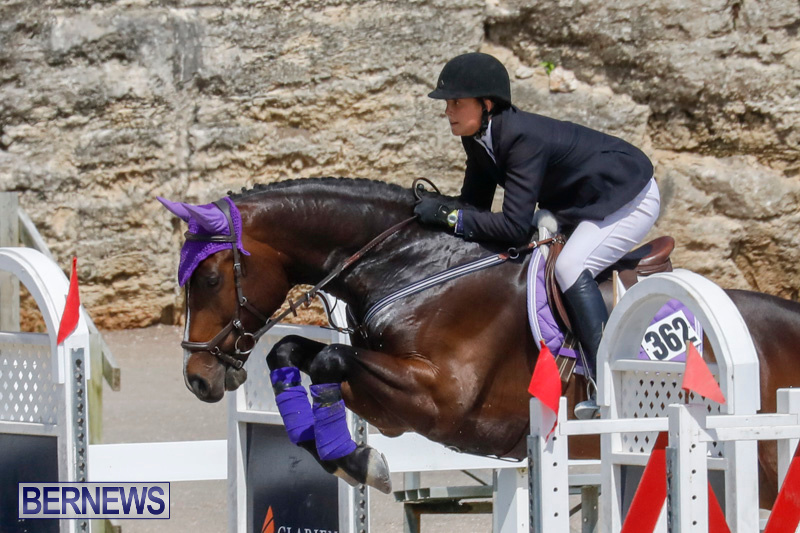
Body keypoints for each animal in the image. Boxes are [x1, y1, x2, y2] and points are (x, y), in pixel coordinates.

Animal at [161, 177, 800, 507]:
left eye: (210, 277)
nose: (198, 378)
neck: (413, 265)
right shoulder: (394, 395)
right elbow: (293, 352)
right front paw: (352, 458)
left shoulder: (439, 398)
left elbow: (330, 356)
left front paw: (363, 461)